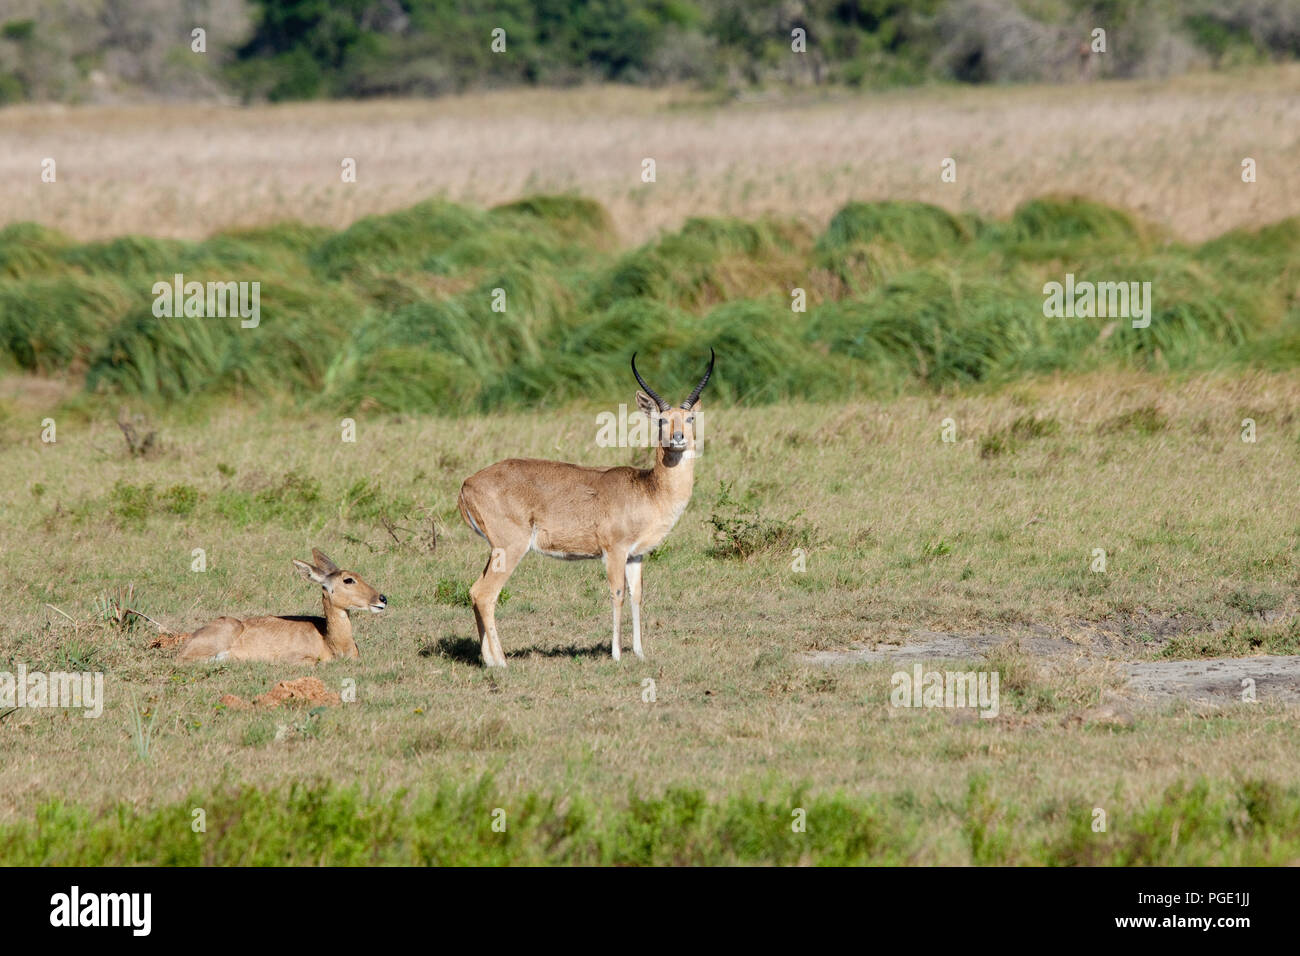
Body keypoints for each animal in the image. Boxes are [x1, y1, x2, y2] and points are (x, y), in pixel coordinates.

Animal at [460, 348, 722, 671]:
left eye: (689, 418)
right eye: (662, 420)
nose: (678, 438)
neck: (648, 489)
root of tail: (467, 483)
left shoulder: (635, 555)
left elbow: (637, 596)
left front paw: (640, 653)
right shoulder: (614, 551)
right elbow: (617, 593)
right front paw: (616, 654)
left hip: (496, 550)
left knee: (475, 591)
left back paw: (489, 660)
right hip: (511, 548)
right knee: (486, 594)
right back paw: (501, 663)